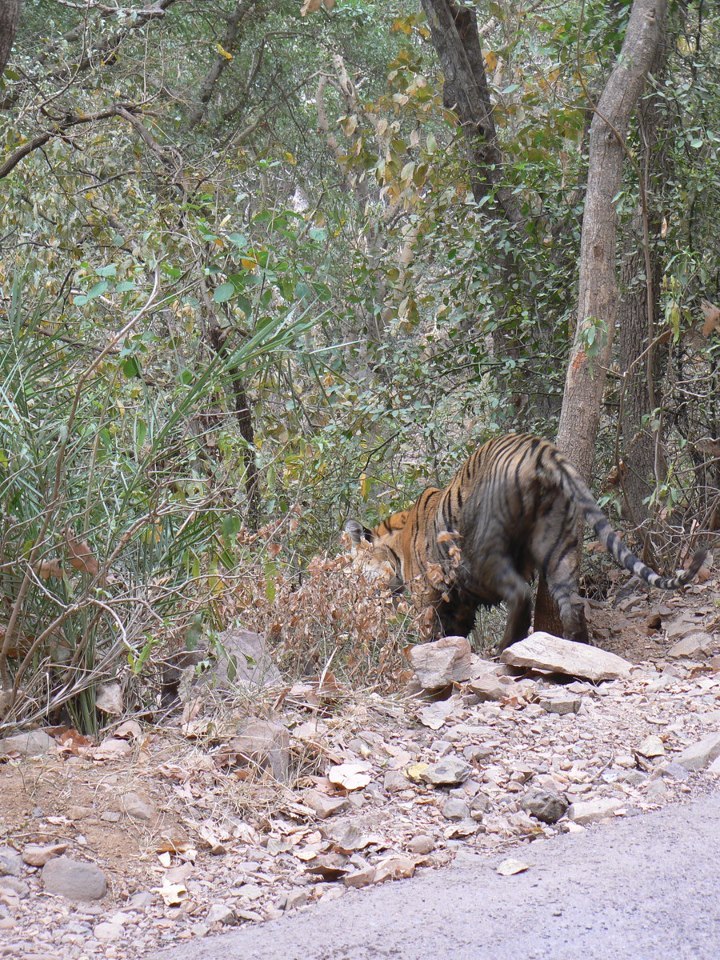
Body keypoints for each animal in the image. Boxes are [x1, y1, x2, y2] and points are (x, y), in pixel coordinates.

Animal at [346, 436, 704, 652]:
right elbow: (454, 634)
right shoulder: (459, 605)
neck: (394, 547)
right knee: (572, 604)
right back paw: (576, 650)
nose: (355, 596)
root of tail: (538, 448)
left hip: (485, 550)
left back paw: (506, 648)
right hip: (559, 545)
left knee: (520, 595)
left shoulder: (427, 597)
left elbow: (429, 635)